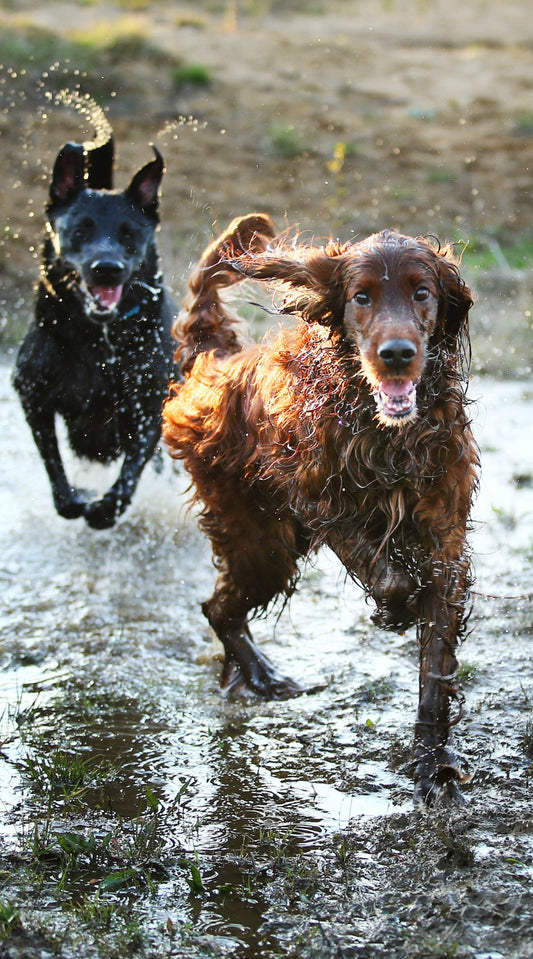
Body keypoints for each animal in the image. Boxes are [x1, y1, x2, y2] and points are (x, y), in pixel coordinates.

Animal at [13, 136, 175, 528]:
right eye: (80, 230)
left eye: (129, 234)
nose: (107, 268)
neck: (98, 340)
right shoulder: (32, 397)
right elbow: (53, 463)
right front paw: (75, 500)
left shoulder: (150, 405)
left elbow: (132, 468)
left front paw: (105, 509)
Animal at [163, 216, 478, 804]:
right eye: (361, 297)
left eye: (422, 293)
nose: (396, 353)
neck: (387, 433)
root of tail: (214, 361)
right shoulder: (315, 500)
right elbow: (388, 575)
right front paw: (397, 608)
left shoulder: (445, 544)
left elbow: (435, 667)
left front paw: (432, 763)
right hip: (261, 543)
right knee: (218, 608)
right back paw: (261, 676)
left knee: (222, 609)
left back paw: (246, 676)